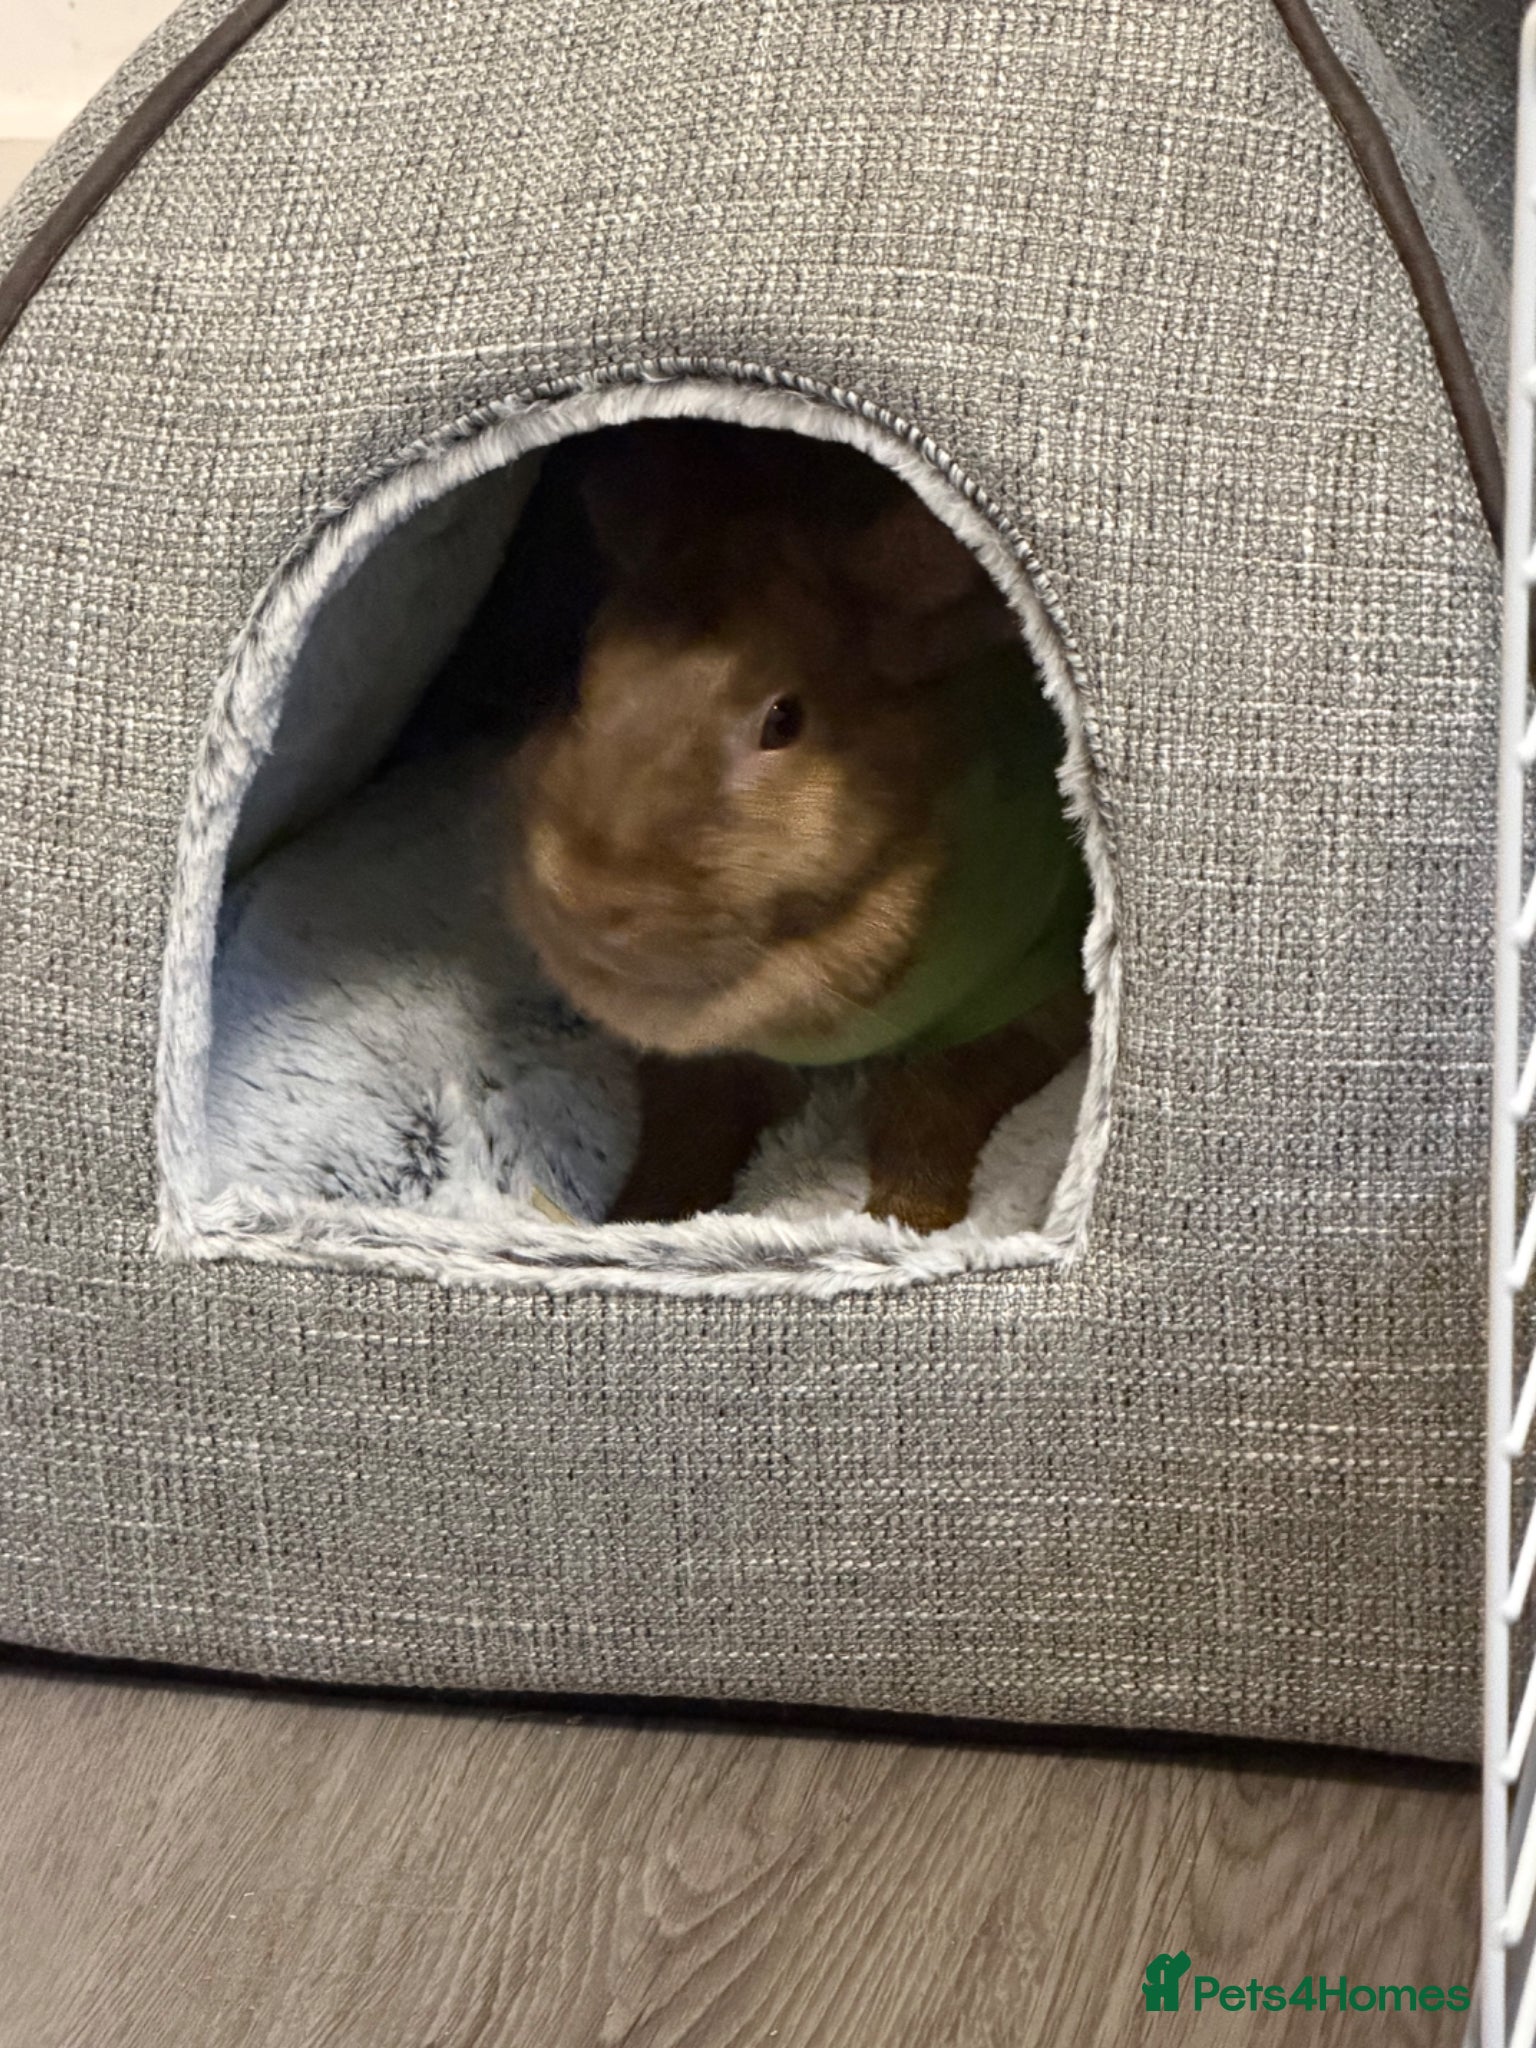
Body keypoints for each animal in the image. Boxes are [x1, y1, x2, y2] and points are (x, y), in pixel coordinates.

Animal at [499, 419, 1091, 1233]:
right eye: (583, 686)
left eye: (784, 721)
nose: (585, 899)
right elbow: (690, 1124)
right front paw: (639, 1221)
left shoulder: (1025, 992)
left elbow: (928, 1105)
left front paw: (906, 1221)